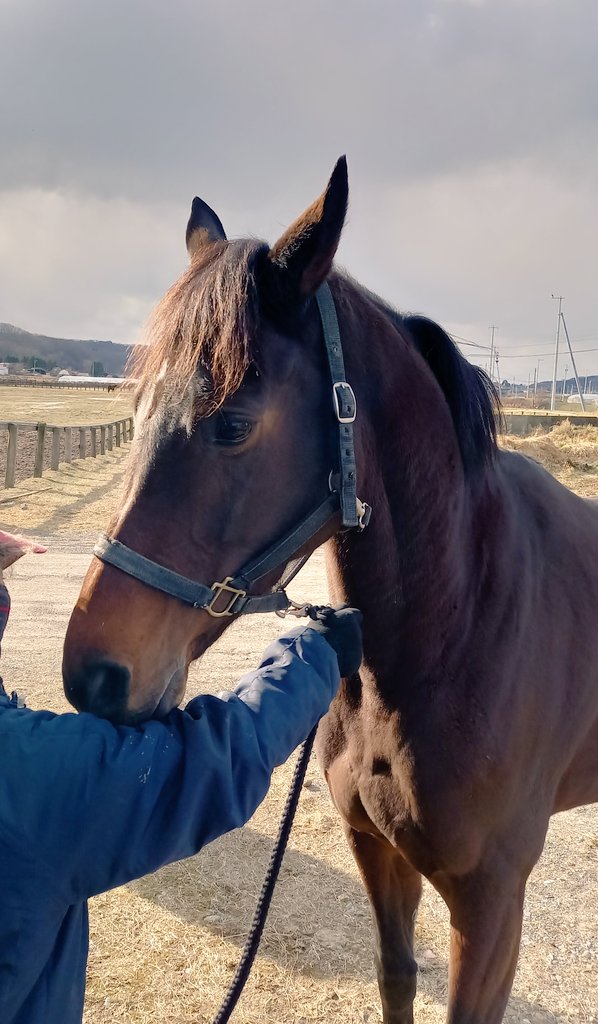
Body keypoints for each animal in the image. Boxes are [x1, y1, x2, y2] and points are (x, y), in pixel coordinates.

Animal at [62, 158, 598, 1023]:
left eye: (233, 423)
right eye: (135, 409)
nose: (94, 673)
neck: (461, 627)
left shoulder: (492, 903)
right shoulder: (377, 853)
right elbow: (395, 978)